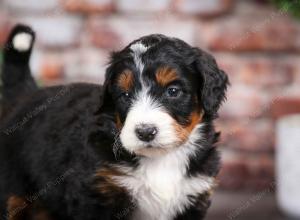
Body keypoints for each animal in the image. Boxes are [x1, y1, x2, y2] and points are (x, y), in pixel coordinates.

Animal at [0, 24, 227, 219]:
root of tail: (26, 95)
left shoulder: (193, 195)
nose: (145, 132)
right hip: (12, 192)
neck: (160, 159)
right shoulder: (97, 197)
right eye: (125, 95)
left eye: (173, 91)